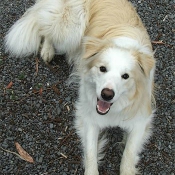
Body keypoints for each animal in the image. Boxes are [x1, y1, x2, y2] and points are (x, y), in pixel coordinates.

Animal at [5, 0, 156, 174]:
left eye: (125, 76)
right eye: (102, 68)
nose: (107, 94)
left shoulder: (140, 121)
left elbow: (128, 155)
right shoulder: (88, 117)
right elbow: (90, 155)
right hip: (71, 27)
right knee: (46, 30)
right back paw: (47, 50)